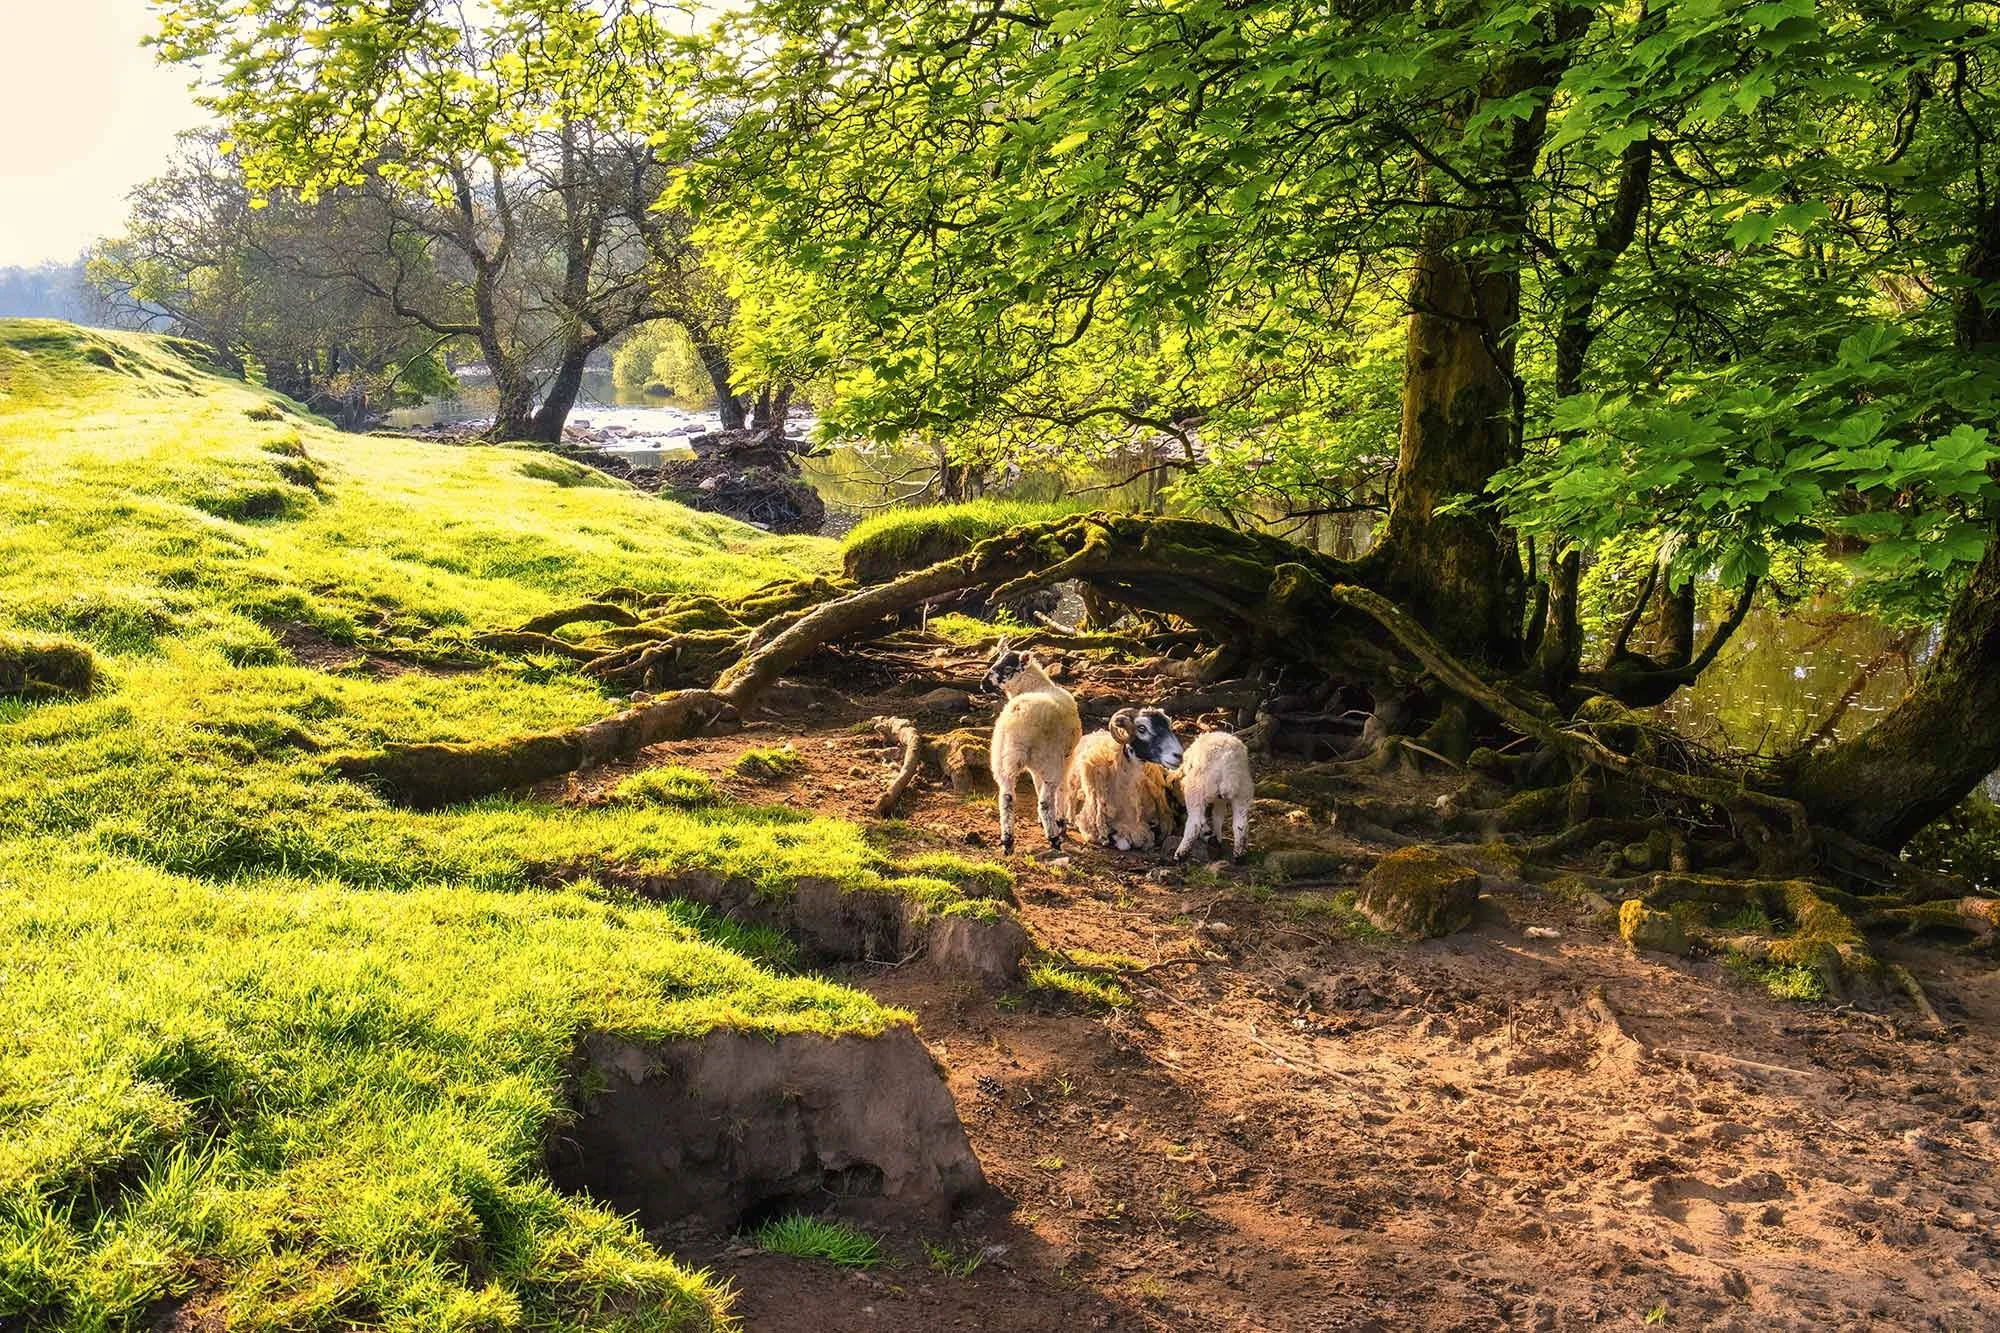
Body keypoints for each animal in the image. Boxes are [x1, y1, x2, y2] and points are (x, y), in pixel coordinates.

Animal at [983, 643, 1082, 854]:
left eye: (1007, 668)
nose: (983, 683)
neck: (1037, 686)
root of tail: (1018, 719)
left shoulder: (1035, 768)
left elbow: (1037, 787)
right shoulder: (1066, 758)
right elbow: (1060, 790)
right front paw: (1059, 822)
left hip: (1002, 759)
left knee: (1006, 798)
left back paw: (1008, 841)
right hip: (1050, 759)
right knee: (1045, 801)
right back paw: (1054, 838)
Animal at [1172, 729, 1254, 861]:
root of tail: (1228, 763)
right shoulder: (1220, 800)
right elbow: (1218, 818)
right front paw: (1218, 838)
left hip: (1196, 790)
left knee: (1195, 823)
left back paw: (1180, 853)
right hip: (1243, 791)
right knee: (1240, 824)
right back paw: (1239, 854)